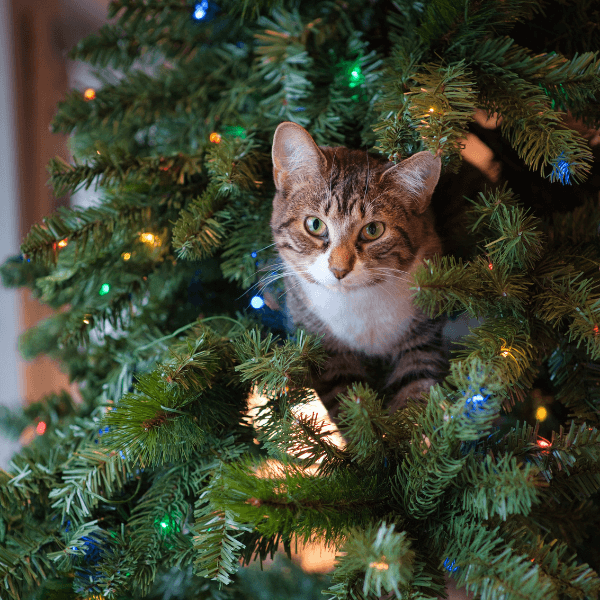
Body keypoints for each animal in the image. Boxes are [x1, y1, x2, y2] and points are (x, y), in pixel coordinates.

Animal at [270, 122, 448, 418]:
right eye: (314, 224)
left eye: (373, 230)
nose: (339, 269)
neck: (357, 300)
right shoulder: (326, 351)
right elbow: (351, 405)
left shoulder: (424, 333)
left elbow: (415, 389)